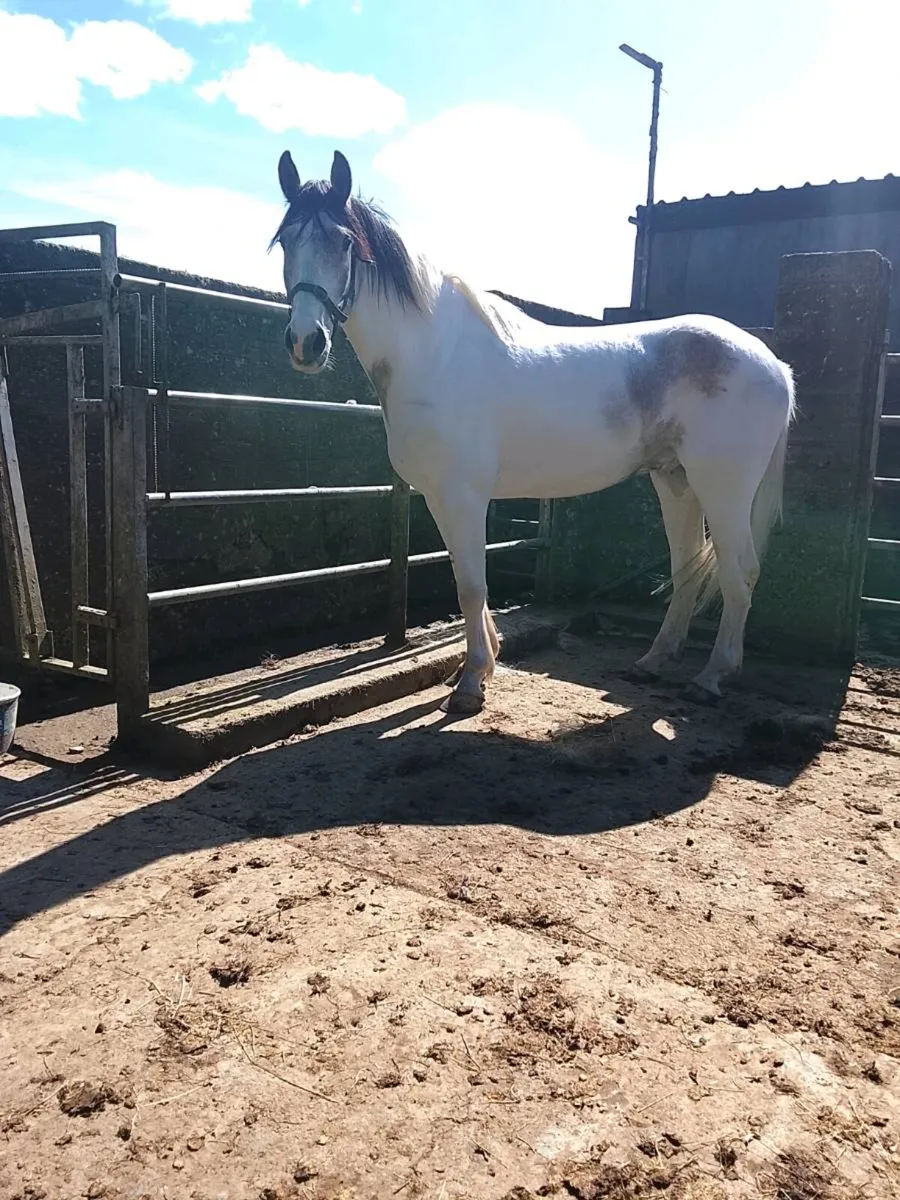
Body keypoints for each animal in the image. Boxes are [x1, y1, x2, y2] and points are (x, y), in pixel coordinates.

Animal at [271, 149, 795, 714]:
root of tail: (774, 364)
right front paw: (477, 666)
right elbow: (466, 581)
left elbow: (471, 587)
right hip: (675, 480)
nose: (305, 343)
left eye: (344, 241)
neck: (436, 353)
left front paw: (471, 684)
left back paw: (712, 676)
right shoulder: (441, 497)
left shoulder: (462, 495)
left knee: (739, 571)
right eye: (286, 240)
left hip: (723, 488)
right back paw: (653, 661)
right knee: (687, 567)